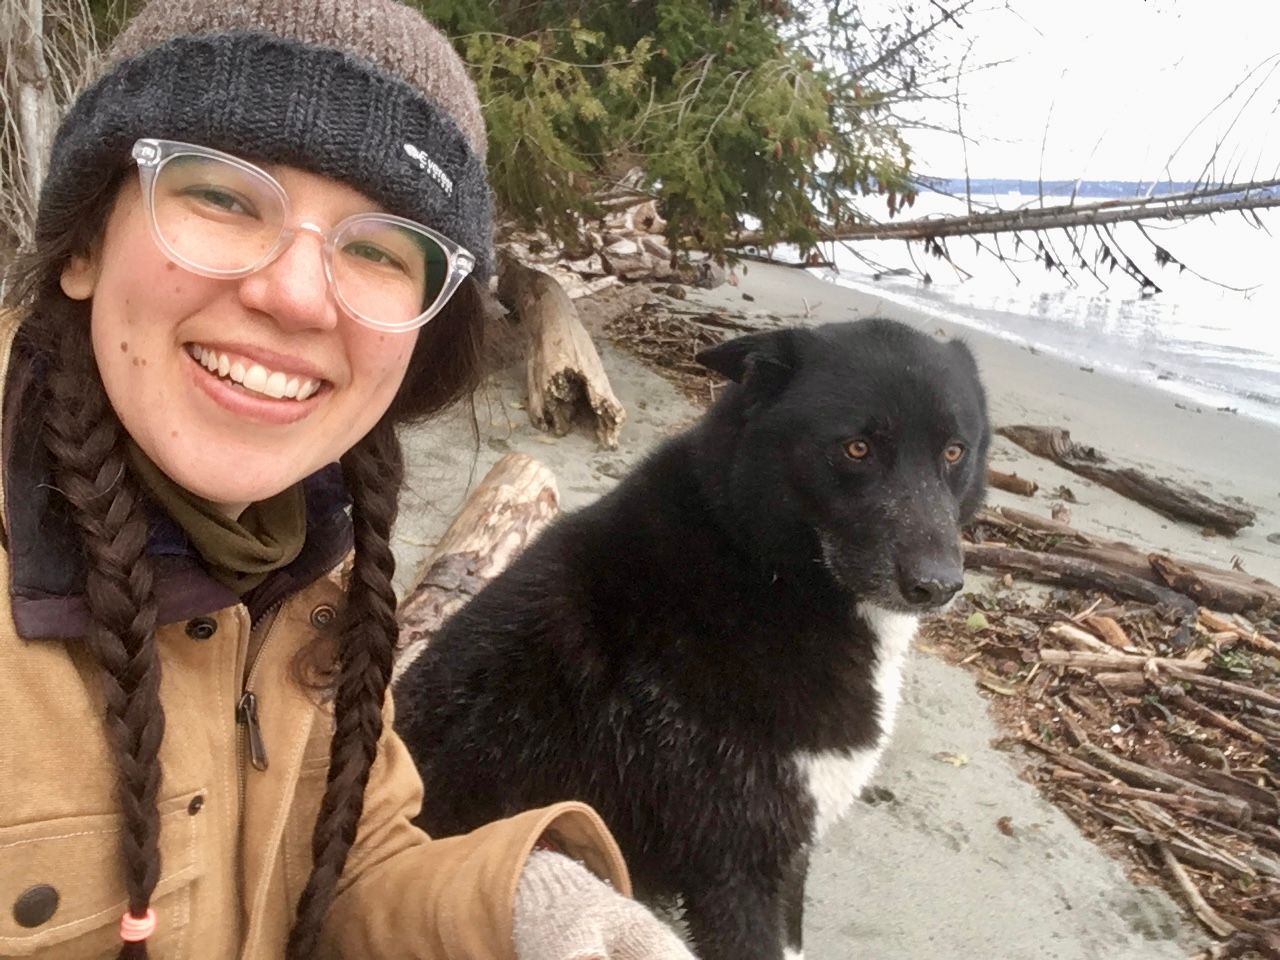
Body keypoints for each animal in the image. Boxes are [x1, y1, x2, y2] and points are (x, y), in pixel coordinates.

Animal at [394, 320, 993, 957]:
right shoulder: (738, 869)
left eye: (954, 451)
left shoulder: (786, 858)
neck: (761, 569)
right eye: (857, 449)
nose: (937, 585)